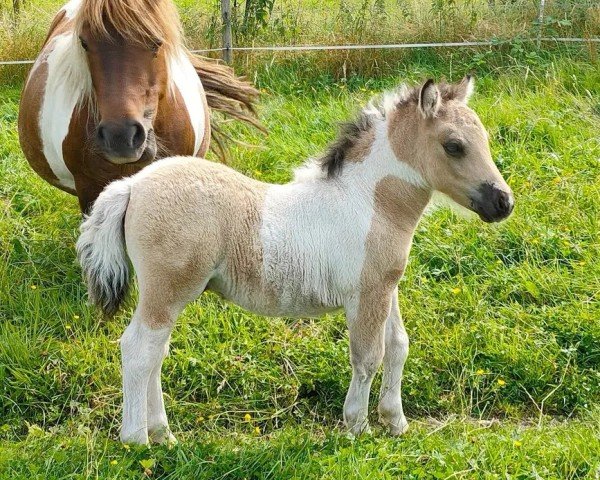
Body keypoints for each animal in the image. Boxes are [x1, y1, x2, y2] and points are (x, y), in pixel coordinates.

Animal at [77, 77, 512, 444]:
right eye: (453, 145)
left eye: (486, 139)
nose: (503, 203)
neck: (370, 201)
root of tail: (131, 184)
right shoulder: (366, 295)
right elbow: (367, 357)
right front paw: (357, 427)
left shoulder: (386, 288)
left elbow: (398, 346)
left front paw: (395, 422)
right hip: (167, 291)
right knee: (139, 349)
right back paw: (137, 439)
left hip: (165, 297)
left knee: (155, 353)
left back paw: (163, 434)